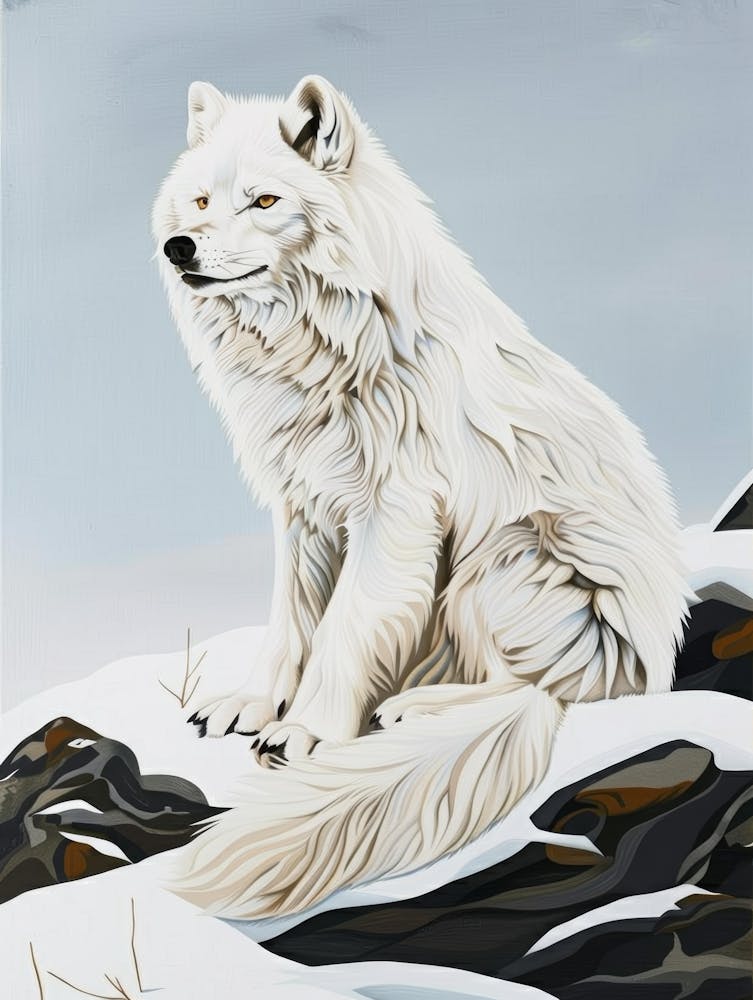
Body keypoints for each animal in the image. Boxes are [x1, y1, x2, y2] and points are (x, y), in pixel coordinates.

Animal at [152, 76, 691, 918]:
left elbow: (343, 631)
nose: (180, 248)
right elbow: (291, 619)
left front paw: (307, 732)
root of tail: (653, 667)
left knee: (533, 691)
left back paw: (414, 708)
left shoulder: (394, 514)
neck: (325, 355)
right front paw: (255, 703)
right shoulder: (302, 510)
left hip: (502, 560)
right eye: (201, 202)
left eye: (265, 200)